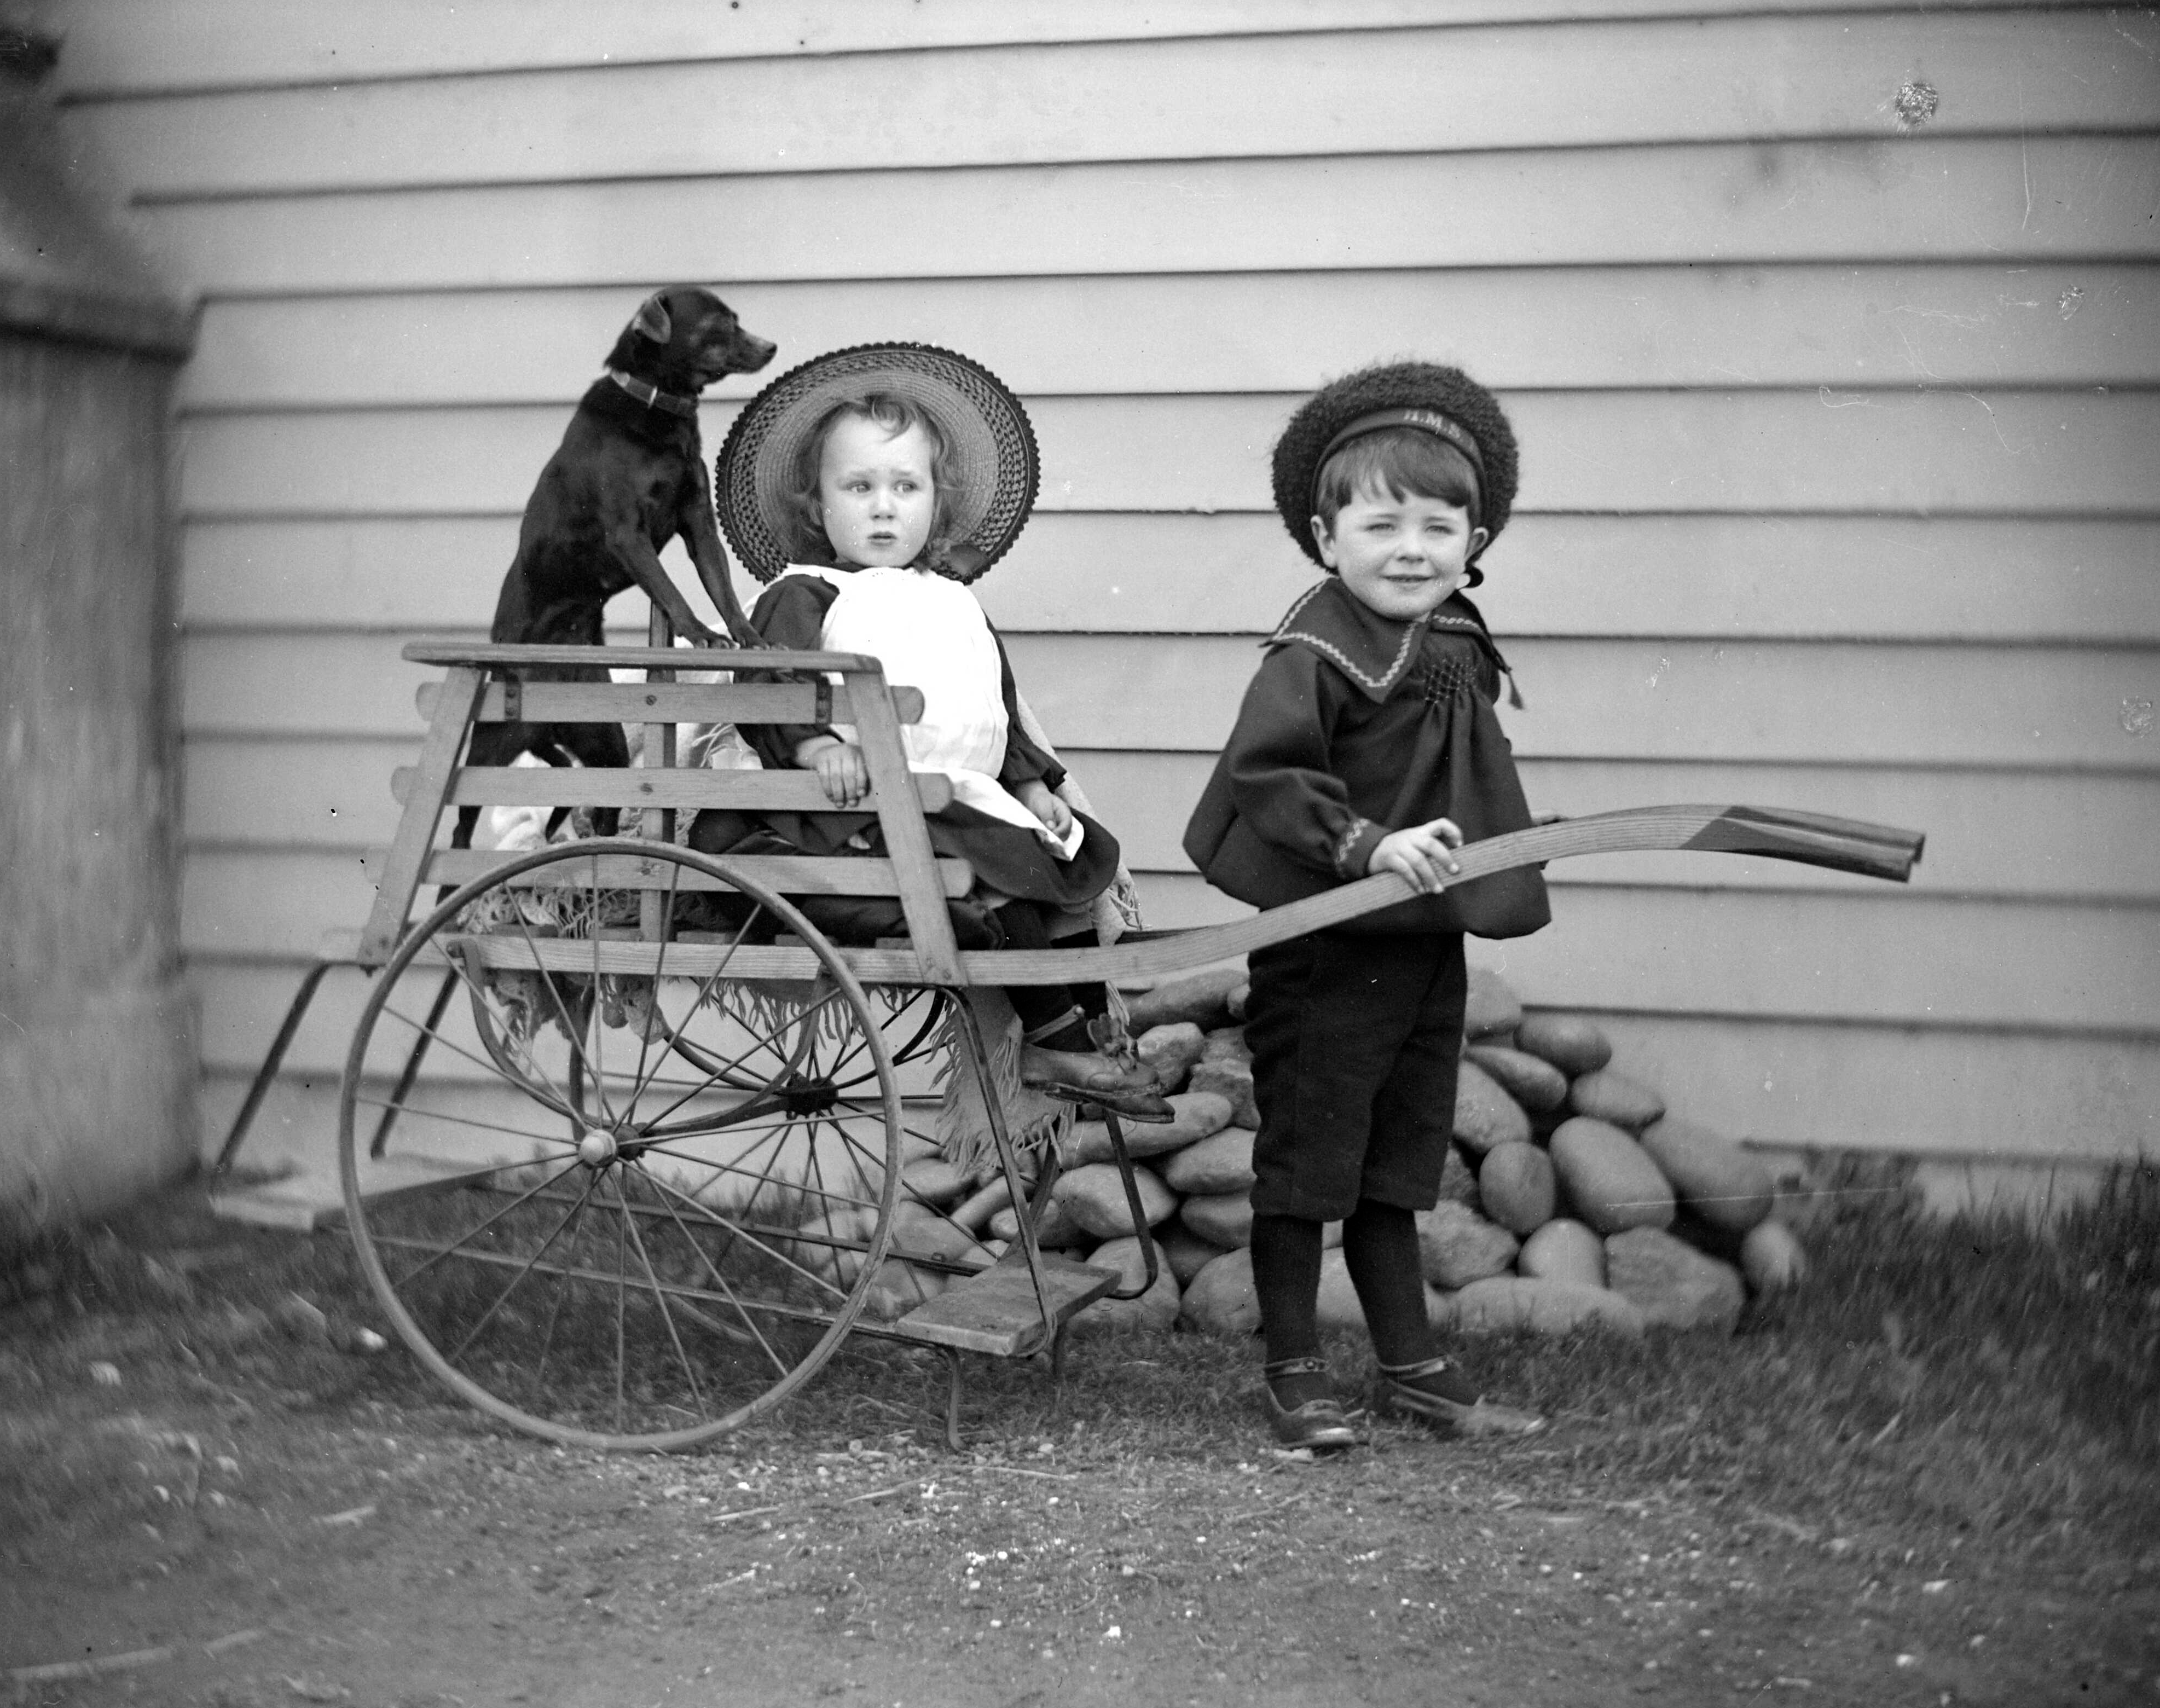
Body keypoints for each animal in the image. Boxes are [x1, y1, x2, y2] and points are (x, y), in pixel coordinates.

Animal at [460, 289, 781, 846]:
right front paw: (704, 636)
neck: (656, 403)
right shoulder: (629, 534)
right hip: (494, 740)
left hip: (602, 738)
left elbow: (721, 588)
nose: (771, 347)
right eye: (719, 322)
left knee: (603, 800)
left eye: (737, 319)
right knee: (460, 817)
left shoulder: (699, 523)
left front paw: (747, 637)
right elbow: (673, 592)